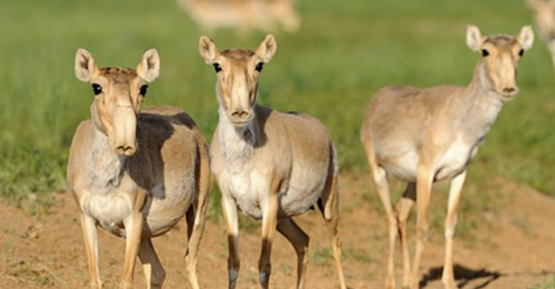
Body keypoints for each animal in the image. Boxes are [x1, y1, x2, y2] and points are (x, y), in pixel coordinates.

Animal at [67, 49, 211, 288]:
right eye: (96, 87)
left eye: (143, 87)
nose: (125, 142)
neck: (105, 183)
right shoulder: (87, 218)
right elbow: (95, 280)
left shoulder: (132, 219)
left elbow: (126, 281)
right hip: (145, 235)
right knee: (159, 271)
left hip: (198, 211)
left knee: (191, 264)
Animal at [200, 35, 348, 288]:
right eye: (217, 65)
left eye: (259, 65)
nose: (240, 113)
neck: (242, 161)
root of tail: (321, 129)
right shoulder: (228, 201)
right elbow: (233, 263)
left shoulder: (268, 201)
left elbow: (264, 265)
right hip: (283, 217)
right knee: (303, 240)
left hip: (328, 202)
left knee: (335, 244)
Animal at [360, 25, 536, 288]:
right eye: (485, 50)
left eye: (521, 51)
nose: (508, 89)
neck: (462, 120)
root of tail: (375, 101)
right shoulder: (427, 170)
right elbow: (423, 228)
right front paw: (416, 283)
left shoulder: (460, 172)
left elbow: (450, 225)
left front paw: (449, 282)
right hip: (378, 170)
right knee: (391, 218)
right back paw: (392, 282)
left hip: (410, 182)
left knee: (401, 214)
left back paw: (404, 278)